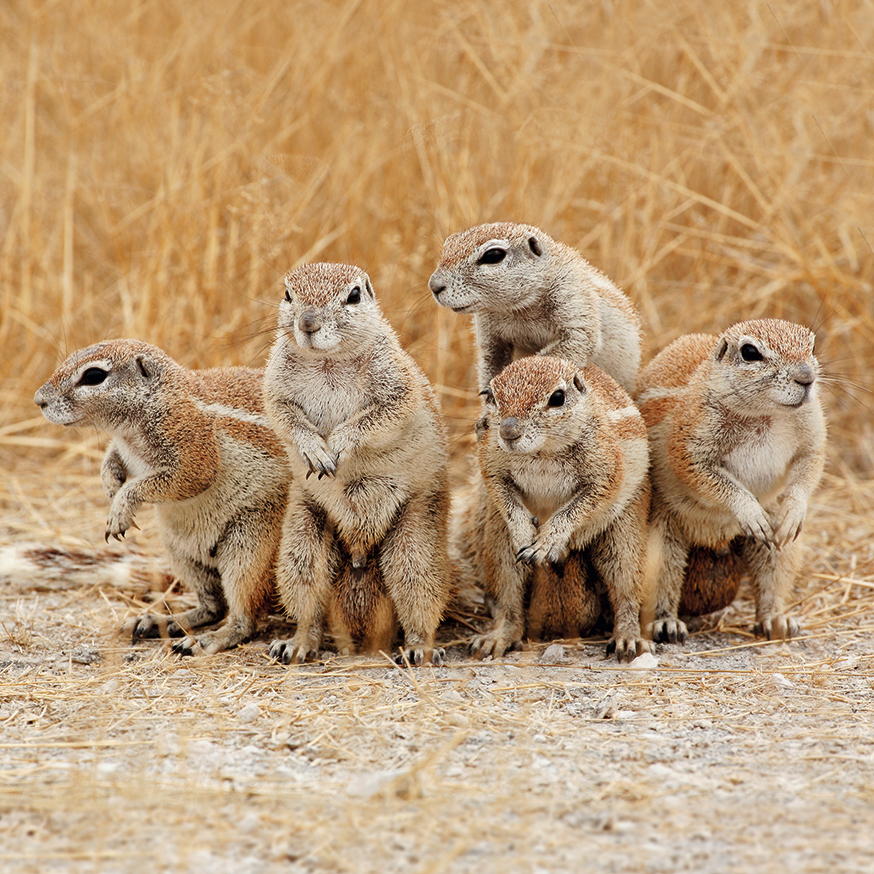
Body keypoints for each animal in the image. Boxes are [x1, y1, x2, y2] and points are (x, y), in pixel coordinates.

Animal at [35, 338, 286, 652]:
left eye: (93, 376)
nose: (39, 400)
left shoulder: (191, 443)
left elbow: (186, 478)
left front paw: (120, 507)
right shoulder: (122, 447)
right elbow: (112, 460)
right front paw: (110, 487)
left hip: (250, 547)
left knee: (244, 617)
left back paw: (210, 639)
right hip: (180, 551)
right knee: (213, 607)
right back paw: (161, 621)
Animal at [262, 262, 450, 664]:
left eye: (353, 295)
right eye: (287, 293)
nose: (308, 323)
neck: (328, 361)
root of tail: (360, 556)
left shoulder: (396, 385)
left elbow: (377, 417)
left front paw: (337, 444)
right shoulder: (275, 387)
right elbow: (286, 417)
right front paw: (314, 450)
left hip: (416, 538)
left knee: (418, 591)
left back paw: (419, 649)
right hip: (302, 537)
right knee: (309, 597)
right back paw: (296, 643)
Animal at [428, 221, 640, 392]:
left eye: (493, 255)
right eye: (448, 244)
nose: (434, 285)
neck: (518, 310)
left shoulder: (572, 296)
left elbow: (577, 341)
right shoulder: (488, 330)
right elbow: (490, 360)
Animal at [454, 350, 652, 656]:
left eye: (557, 397)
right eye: (491, 396)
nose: (508, 431)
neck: (542, 452)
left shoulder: (605, 470)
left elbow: (577, 508)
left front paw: (547, 542)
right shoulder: (491, 463)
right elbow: (502, 493)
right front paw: (525, 532)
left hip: (624, 533)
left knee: (626, 589)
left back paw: (627, 637)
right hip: (498, 542)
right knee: (509, 594)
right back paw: (498, 637)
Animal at [636, 320, 820, 640]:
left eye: (811, 346)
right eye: (750, 353)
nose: (806, 378)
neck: (766, 414)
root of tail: (716, 538)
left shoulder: (812, 427)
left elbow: (810, 462)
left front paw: (795, 511)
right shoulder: (691, 439)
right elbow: (705, 475)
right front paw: (749, 511)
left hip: (780, 545)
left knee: (773, 572)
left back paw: (776, 620)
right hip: (658, 534)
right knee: (663, 575)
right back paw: (666, 624)